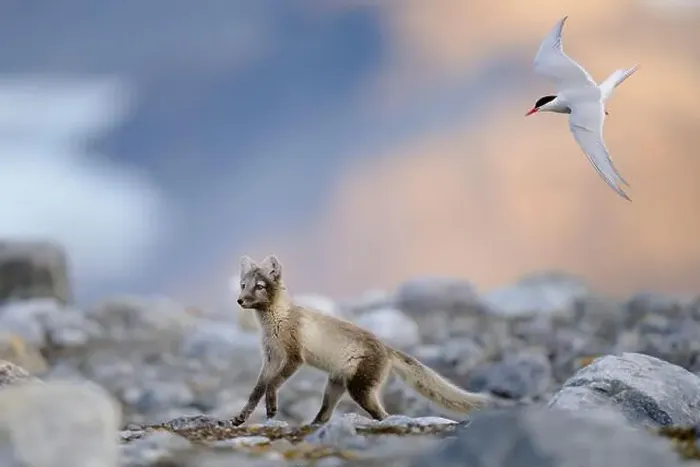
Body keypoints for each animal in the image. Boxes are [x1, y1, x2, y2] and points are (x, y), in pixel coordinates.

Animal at [232, 254, 495, 426]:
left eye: (259, 286)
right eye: (243, 285)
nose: (240, 300)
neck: (276, 321)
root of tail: (387, 348)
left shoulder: (294, 357)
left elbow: (273, 385)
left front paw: (272, 407)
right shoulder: (270, 358)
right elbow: (256, 390)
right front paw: (241, 417)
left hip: (360, 390)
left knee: (383, 415)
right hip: (335, 386)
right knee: (325, 414)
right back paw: (313, 426)